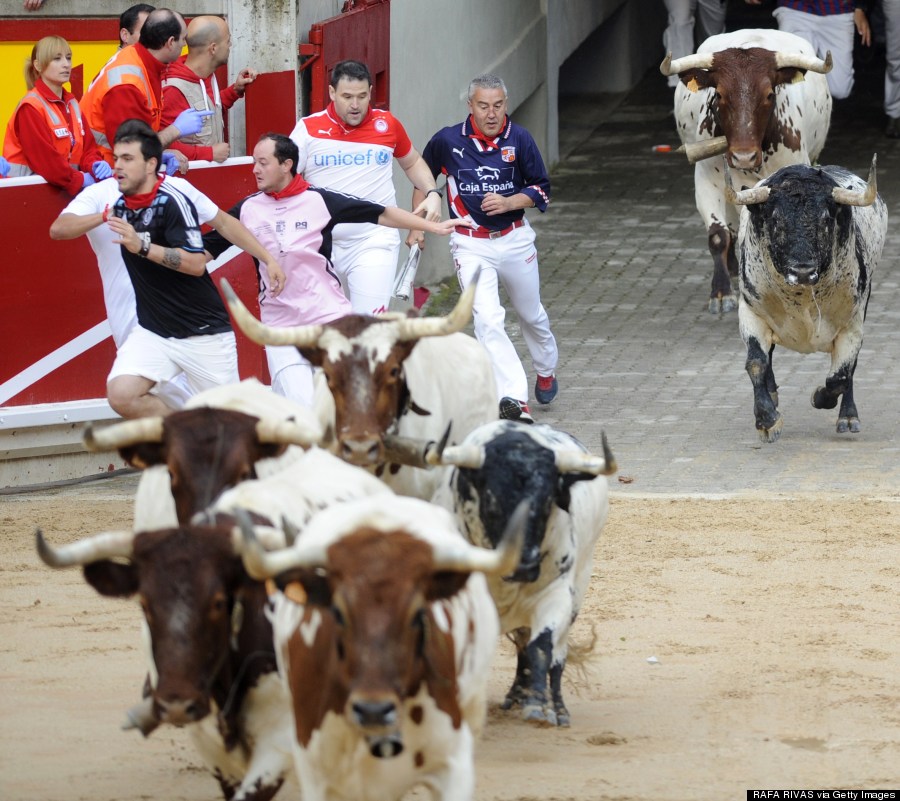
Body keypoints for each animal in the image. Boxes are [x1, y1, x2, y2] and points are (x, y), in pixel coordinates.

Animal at [430, 422, 616, 728]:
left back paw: (556, 707)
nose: (525, 566)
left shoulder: (556, 596)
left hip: (578, 588)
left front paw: (538, 705)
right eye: (491, 501)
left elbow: (541, 647)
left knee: (551, 653)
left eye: (548, 500)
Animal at [656, 25, 832, 312]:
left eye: (770, 94)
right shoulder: (706, 181)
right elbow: (718, 235)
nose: (744, 156)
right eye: (719, 94)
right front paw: (721, 292)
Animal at [724, 156, 884, 444]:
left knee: (847, 372)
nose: (802, 271)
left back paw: (848, 417)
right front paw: (767, 420)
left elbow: (840, 376)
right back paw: (773, 394)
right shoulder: (751, 312)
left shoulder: (852, 324)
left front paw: (821, 398)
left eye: (826, 220)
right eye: (775, 220)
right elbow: (756, 362)